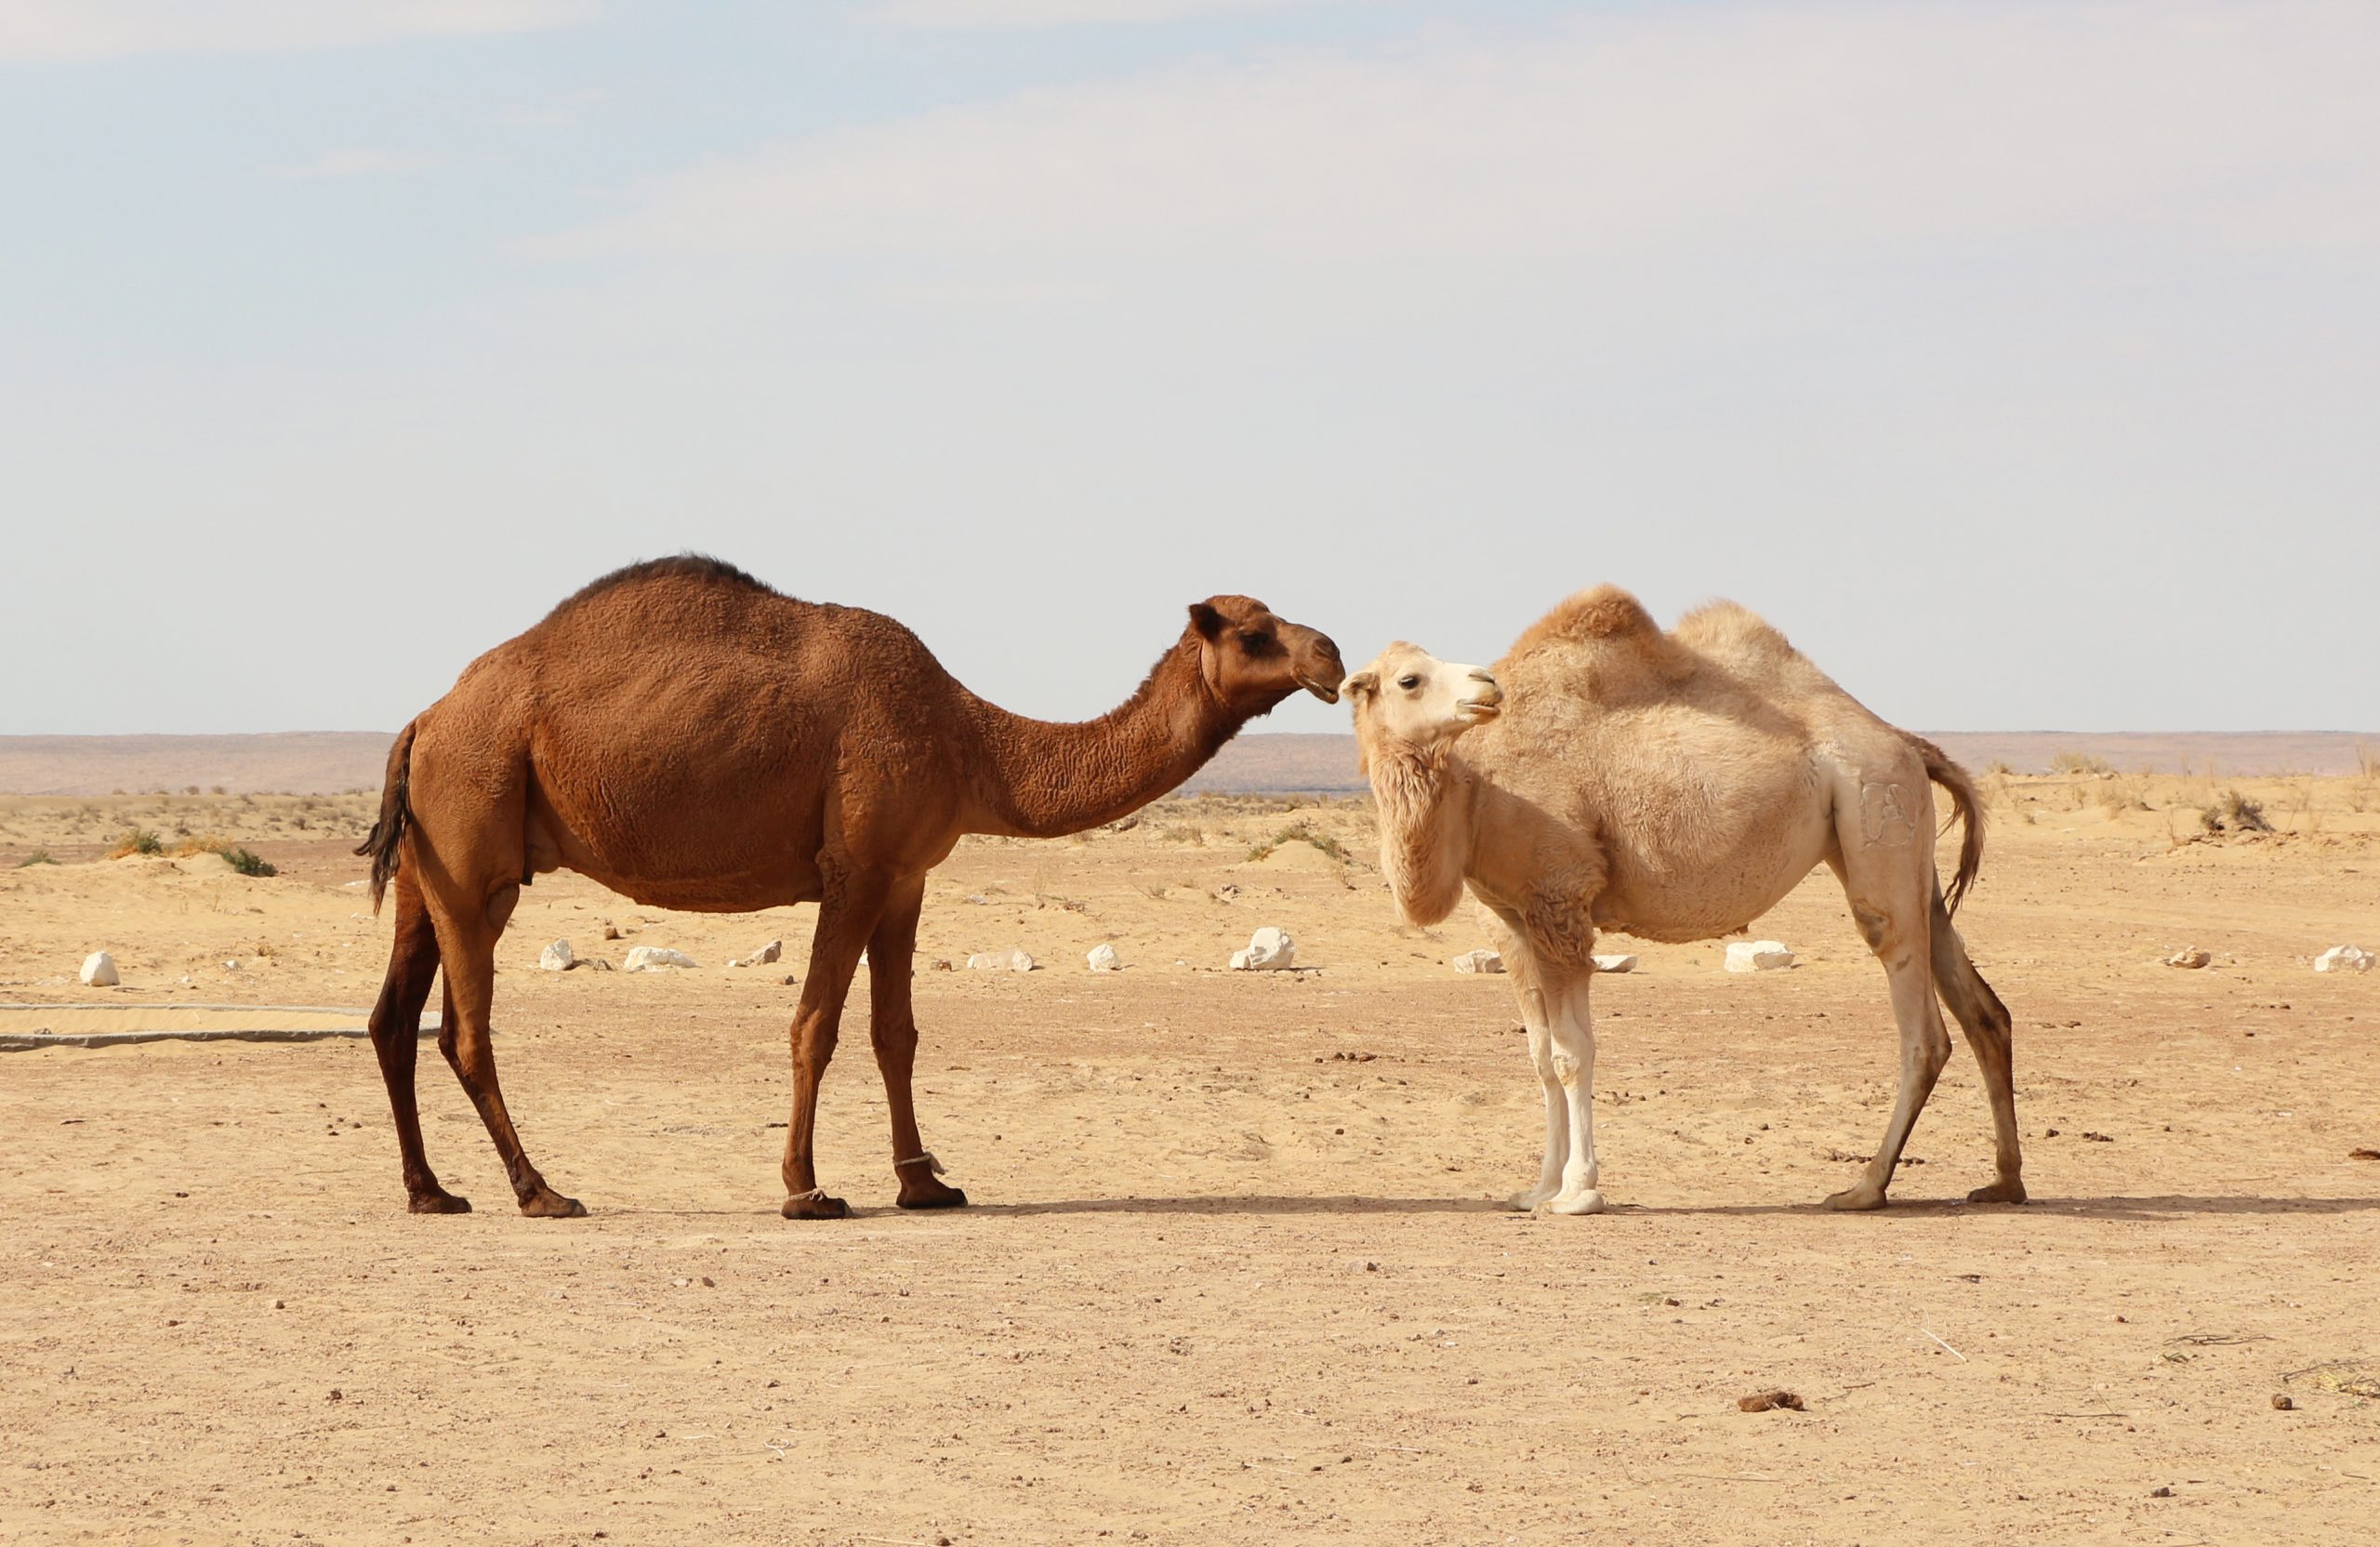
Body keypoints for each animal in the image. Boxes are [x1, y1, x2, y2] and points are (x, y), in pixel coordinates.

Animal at [354, 555, 1344, 1219]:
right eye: (1253, 634)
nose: (1331, 655)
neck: (968, 737)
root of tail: (425, 718)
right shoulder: (855, 868)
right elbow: (816, 1026)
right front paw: (806, 1190)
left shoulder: (906, 877)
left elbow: (894, 1033)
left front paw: (927, 1183)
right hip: (476, 842)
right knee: (465, 1032)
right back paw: (541, 1191)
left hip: (427, 866)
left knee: (393, 1019)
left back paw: (431, 1192)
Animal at [1341, 585, 2022, 1215]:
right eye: (1409, 678)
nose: (1486, 685)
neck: (1474, 792)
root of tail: (1907, 741)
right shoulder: (1509, 919)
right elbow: (1538, 1056)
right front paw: (1536, 1189)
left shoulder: (1560, 897)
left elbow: (1571, 1054)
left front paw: (1578, 1193)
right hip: (1903, 844)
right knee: (1983, 1009)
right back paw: (2004, 1182)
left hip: (1873, 802)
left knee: (1920, 1024)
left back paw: (1864, 1188)